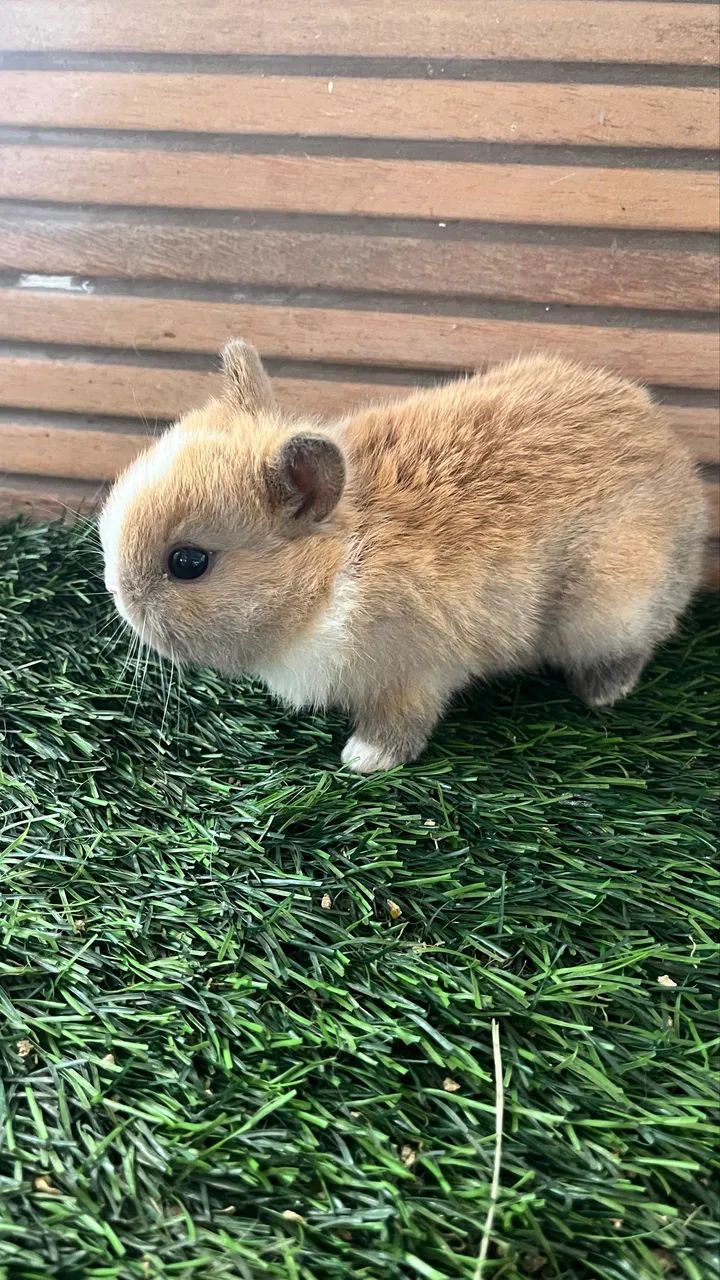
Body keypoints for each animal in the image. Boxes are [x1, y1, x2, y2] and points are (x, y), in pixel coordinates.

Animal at [100, 340, 707, 773]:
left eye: (188, 563)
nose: (117, 594)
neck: (335, 570)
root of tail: (687, 487)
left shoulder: (414, 672)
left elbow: (401, 723)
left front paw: (363, 760)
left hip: (610, 607)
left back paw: (603, 693)